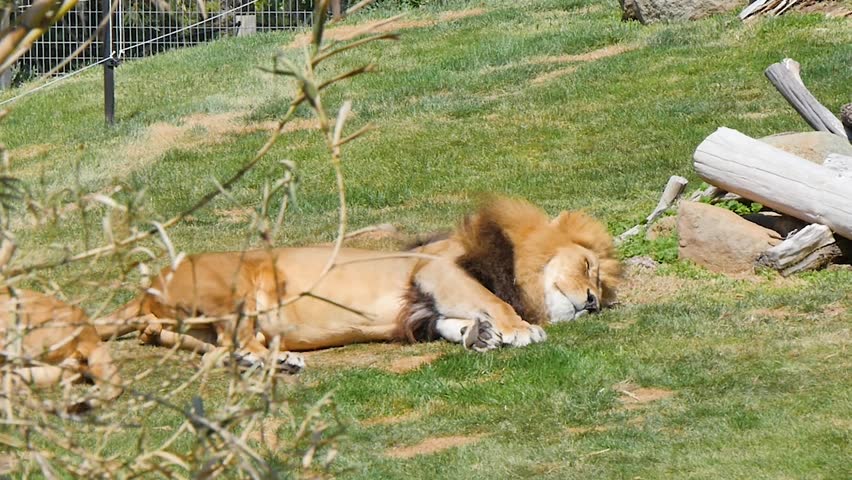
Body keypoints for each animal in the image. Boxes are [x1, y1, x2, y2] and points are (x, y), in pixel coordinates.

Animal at [94, 197, 621, 371]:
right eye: (588, 267)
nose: (594, 303)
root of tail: (146, 288)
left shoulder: (424, 308)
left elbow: (452, 321)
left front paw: (481, 335)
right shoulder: (434, 268)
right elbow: (492, 300)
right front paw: (517, 329)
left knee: (211, 347)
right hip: (234, 287)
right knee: (237, 340)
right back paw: (278, 361)